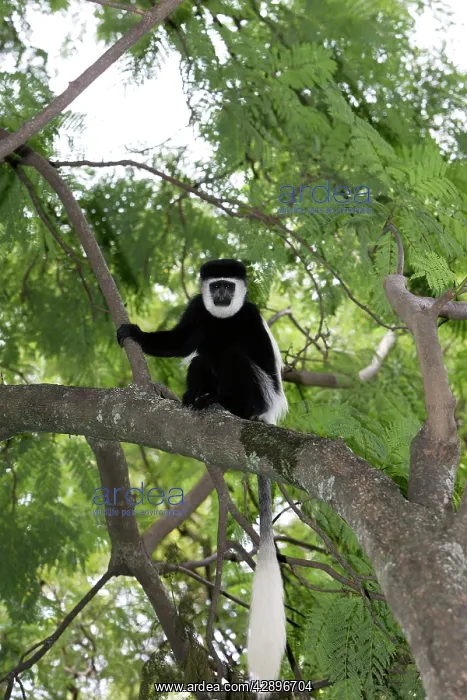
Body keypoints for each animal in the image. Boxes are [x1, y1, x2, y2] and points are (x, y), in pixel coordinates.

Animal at [117, 259, 288, 683]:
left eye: (229, 285)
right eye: (215, 286)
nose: (223, 296)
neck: (223, 317)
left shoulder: (251, 317)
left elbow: (259, 360)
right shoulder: (197, 309)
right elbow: (180, 343)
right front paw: (135, 334)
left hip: (255, 392)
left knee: (234, 358)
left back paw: (226, 405)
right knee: (200, 360)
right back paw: (197, 397)